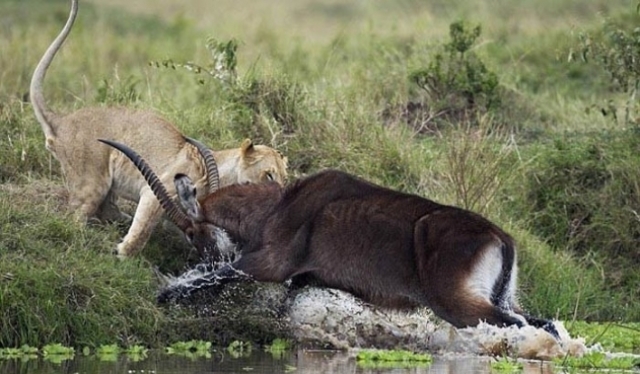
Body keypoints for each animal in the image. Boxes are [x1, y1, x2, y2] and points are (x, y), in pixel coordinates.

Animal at [99, 139, 560, 338]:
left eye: (192, 231)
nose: (208, 252)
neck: (280, 204)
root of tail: (501, 236)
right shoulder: (301, 278)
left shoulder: (267, 264)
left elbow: (206, 280)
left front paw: (162, 294)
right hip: (498, 299)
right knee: (545, 324)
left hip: (459, 304)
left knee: (519, 326)